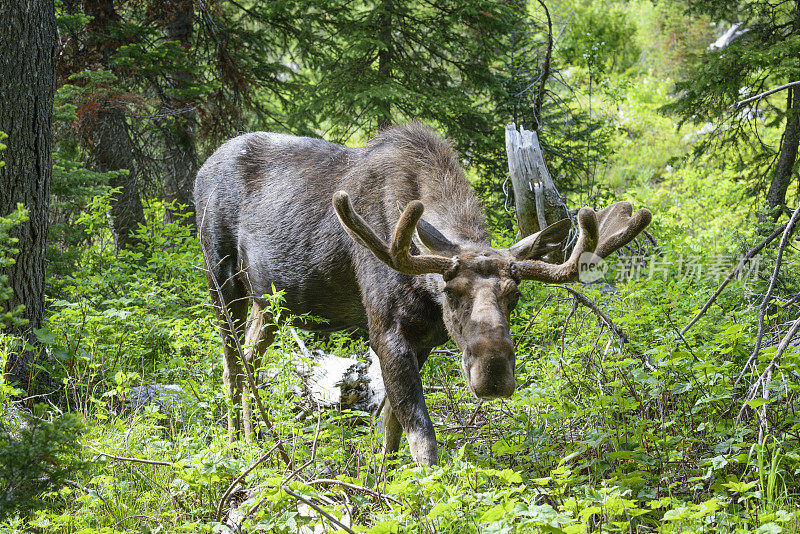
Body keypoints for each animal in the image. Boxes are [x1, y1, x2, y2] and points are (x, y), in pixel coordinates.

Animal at [194, 123, 648, 466]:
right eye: (451, 293)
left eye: (514, 295)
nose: (493, 375)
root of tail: (201, 167)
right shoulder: (384, 330)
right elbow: (421, 433)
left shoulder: (424, 338)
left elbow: (392, 424)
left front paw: (381, 478)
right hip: (221, 278)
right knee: (231, 364)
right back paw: (235, 444)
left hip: (270, 303)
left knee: (251, 358)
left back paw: (255, 439)